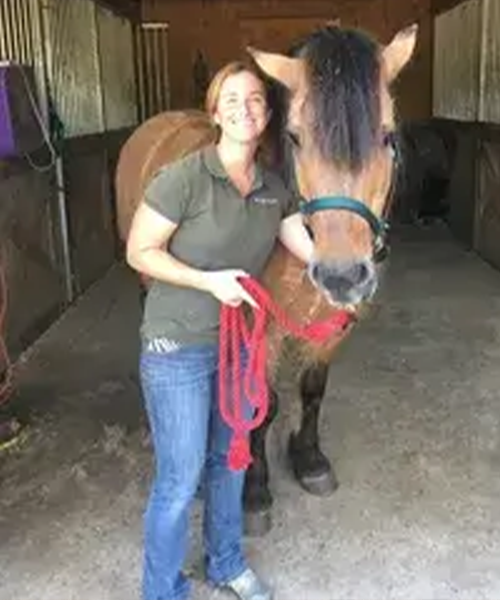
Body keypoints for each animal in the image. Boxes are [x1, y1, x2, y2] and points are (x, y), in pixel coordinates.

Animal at [113, 22, 418, 536]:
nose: (340, 275)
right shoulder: (261, 327)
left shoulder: (332, 326)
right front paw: (254, 491)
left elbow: (313, 389)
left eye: (387, 135)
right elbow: (263, 405)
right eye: (294, 136)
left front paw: (310, 460)